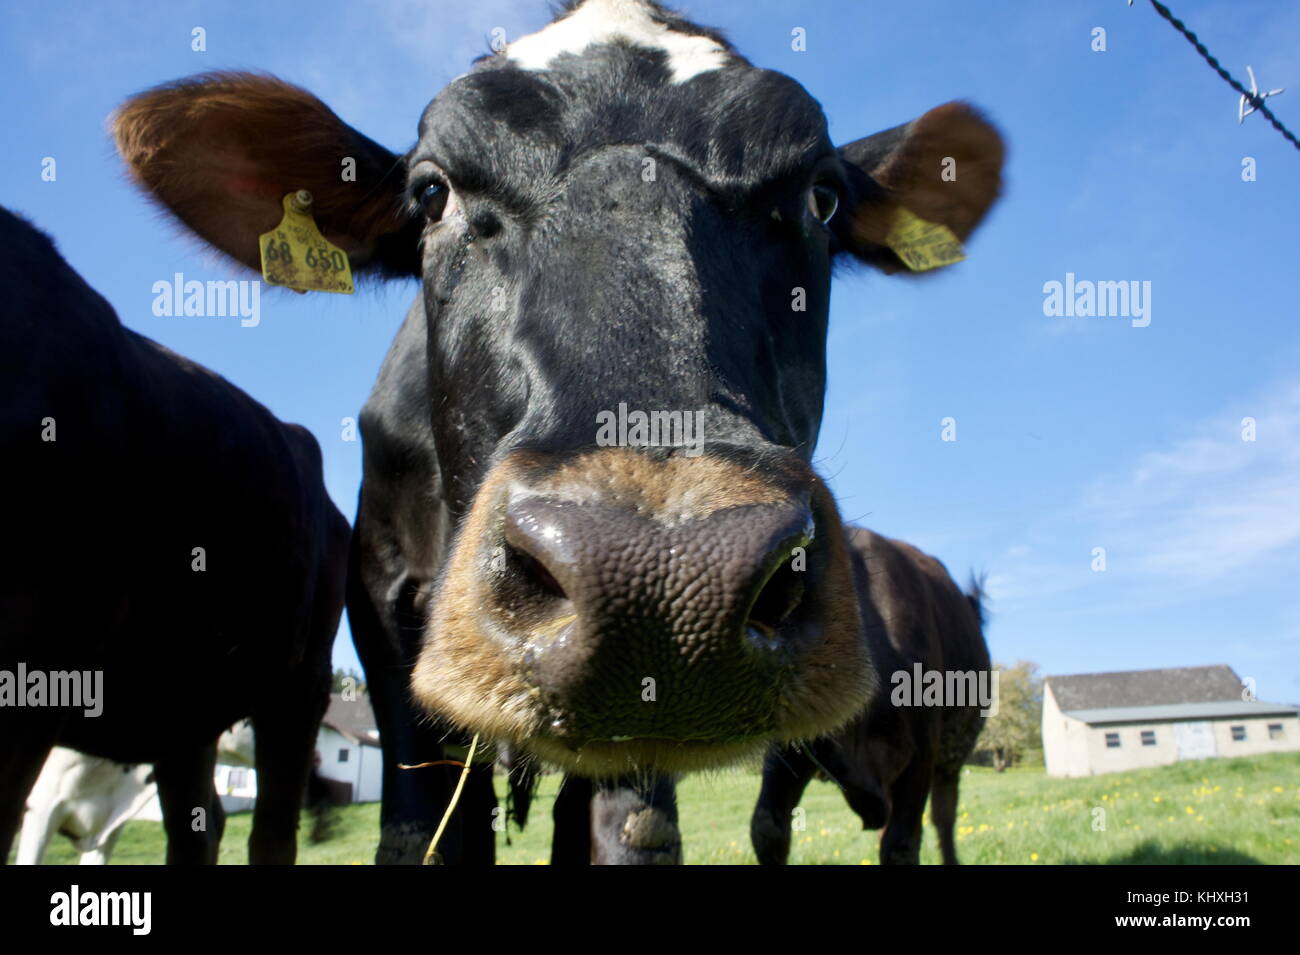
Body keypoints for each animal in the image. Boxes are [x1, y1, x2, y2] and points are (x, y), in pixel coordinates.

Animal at [748, 530, 987, 867]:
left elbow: (901, 845)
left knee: (944, 816)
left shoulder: (923, 751)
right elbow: (768, 829)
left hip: (953, 753)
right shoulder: (789, 751)